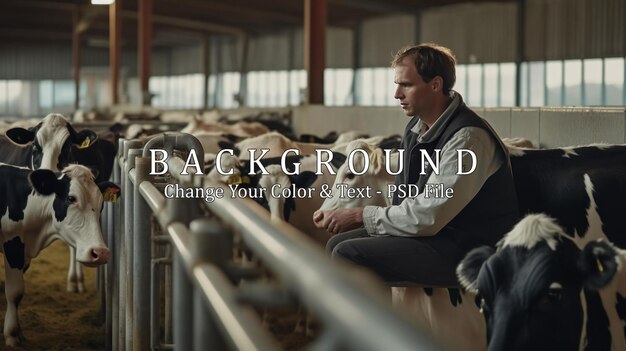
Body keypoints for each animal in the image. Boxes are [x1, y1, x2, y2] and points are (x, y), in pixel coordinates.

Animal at [0, 164, 119, 346]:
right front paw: (12, 335)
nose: (101, 253)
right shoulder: (12, 243)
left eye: (101, 204)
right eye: (71, 198)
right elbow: (15, 292)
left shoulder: (23, 254)